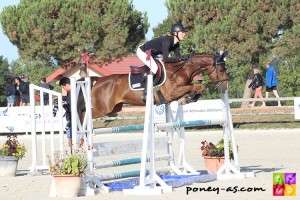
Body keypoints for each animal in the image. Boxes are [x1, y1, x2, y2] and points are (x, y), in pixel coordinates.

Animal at [82, 50, 227, 119]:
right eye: (221, 70)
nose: (224, 88)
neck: (182, 70)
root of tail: (98, 80)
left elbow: (198, 87)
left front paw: (190, 98)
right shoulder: (171, 93)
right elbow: (197, 86)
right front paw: (189, 98)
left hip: (113, 109)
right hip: (103, 109)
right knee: (84, 115)